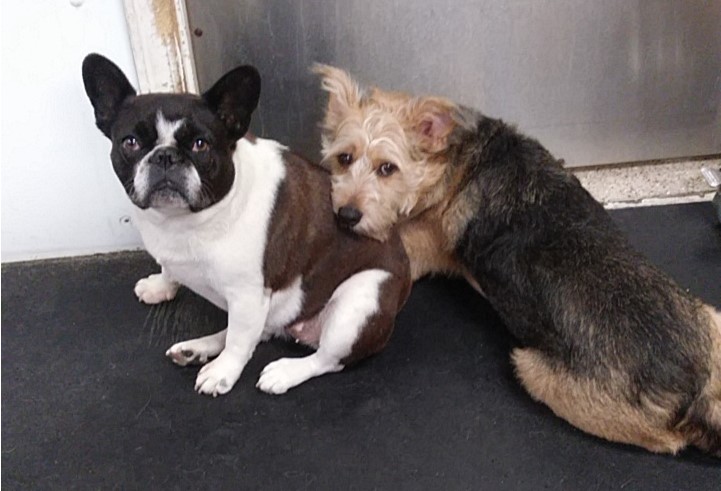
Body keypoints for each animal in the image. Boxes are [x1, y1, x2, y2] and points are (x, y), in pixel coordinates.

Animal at [81, 55, 408, 398]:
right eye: (130, 143)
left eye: (200, 144)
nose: (165, 156)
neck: (185, 221)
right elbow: (173, 273)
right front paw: (161, 284)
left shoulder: (248, 295)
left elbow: (239, 341)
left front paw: (223, 372)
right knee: (256, 332)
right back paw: (197, 348)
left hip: (360, 304)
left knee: (325, 359)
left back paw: (284, 371)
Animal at [314, 64, 720, 458]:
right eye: (344, 158)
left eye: (388, 168)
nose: (346, 216)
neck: (453, 159)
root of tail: (696, 389)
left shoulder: (418, 246)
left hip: (534, 371)